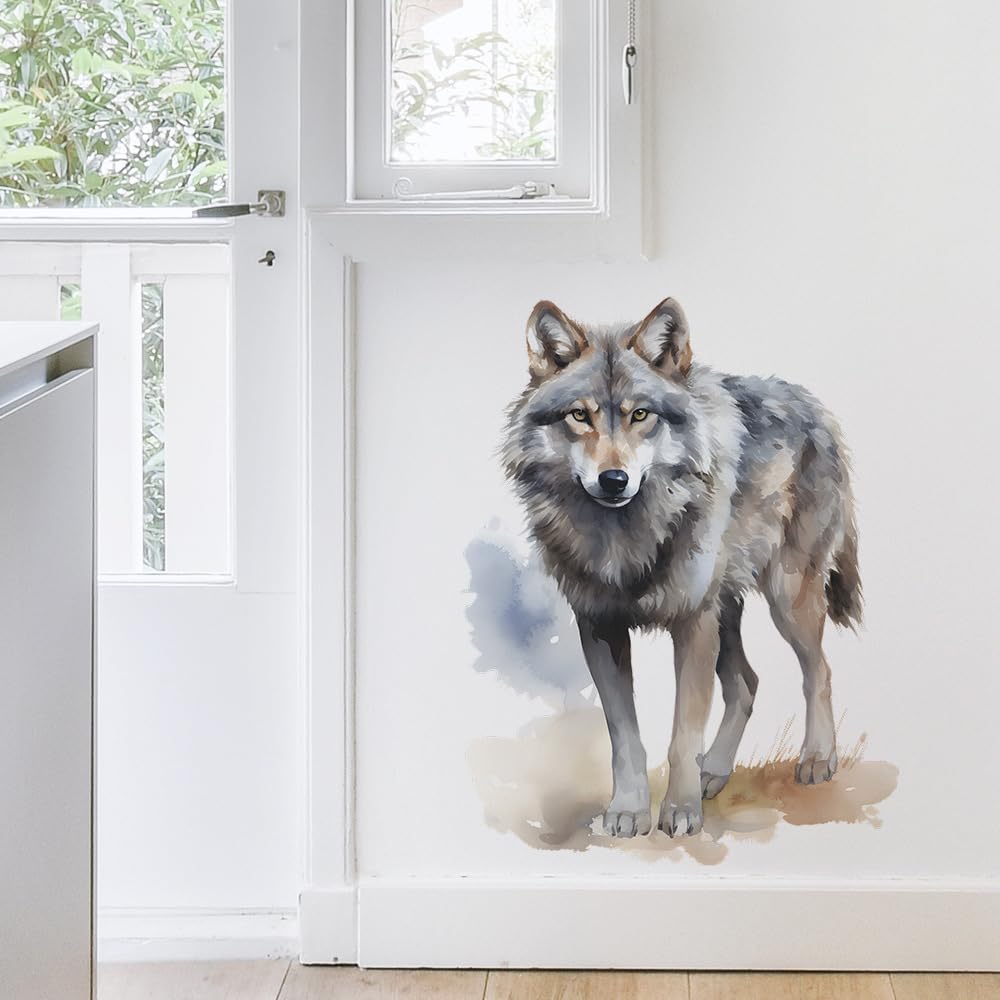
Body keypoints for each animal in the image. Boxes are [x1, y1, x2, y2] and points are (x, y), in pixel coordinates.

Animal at [502, 298, 861, 838]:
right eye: (580, 416)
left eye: (640, 415)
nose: (614, 479)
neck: (623, 537)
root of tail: (814, 406)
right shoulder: (600, 628)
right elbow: (625, 737)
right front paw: (628, 811)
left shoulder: (692, 623)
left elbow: (681, 735)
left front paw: (680, 811)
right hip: (726, 609)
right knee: (746, 685)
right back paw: (715, 770)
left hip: (786, 599)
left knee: (819, 670)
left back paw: (817, 758)